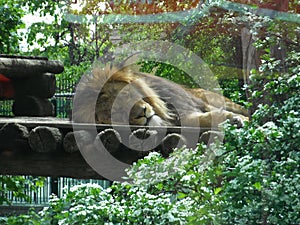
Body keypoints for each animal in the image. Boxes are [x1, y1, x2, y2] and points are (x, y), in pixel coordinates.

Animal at [72, 63, 248, 128]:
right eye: (115, 113)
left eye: (125, 94)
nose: (142, 113)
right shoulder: (185, 118)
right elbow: (207, 118)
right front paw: (232, 119)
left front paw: (240, 119)